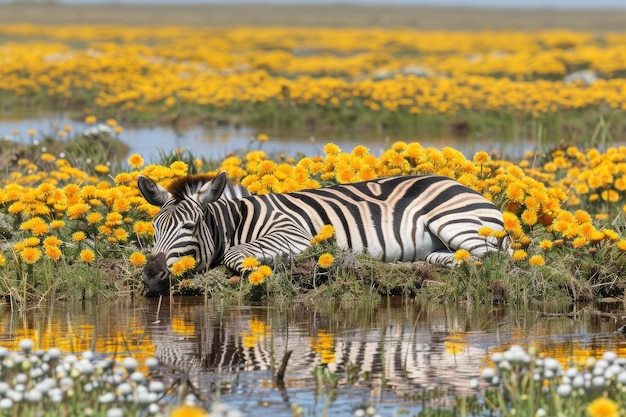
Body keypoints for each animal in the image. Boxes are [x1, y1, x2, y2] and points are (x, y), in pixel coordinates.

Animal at [136, 172, 502, 296]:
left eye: (189, 227)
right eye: (155, 228)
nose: (152, 275)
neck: (240, 221)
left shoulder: (291, 231)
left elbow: (234, 255)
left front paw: (268, 271)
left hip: (453, 221)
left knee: (493, 259)